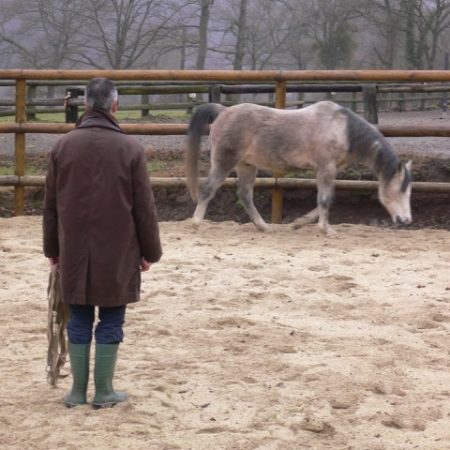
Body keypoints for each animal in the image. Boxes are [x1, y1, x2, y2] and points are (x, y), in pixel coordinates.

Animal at [185, 101, 414, 236]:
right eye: (399, 190)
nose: (406, 220)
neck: (341, 129)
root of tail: (223, 110)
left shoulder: (329, 171)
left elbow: (327, 199)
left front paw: (298, 224)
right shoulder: (325, 168)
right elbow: (325, 200)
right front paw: (325, 230)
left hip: (246, 165)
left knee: (245, 195)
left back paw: (263, 226)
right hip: (224, 161)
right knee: (208, 189)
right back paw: (195, 223)